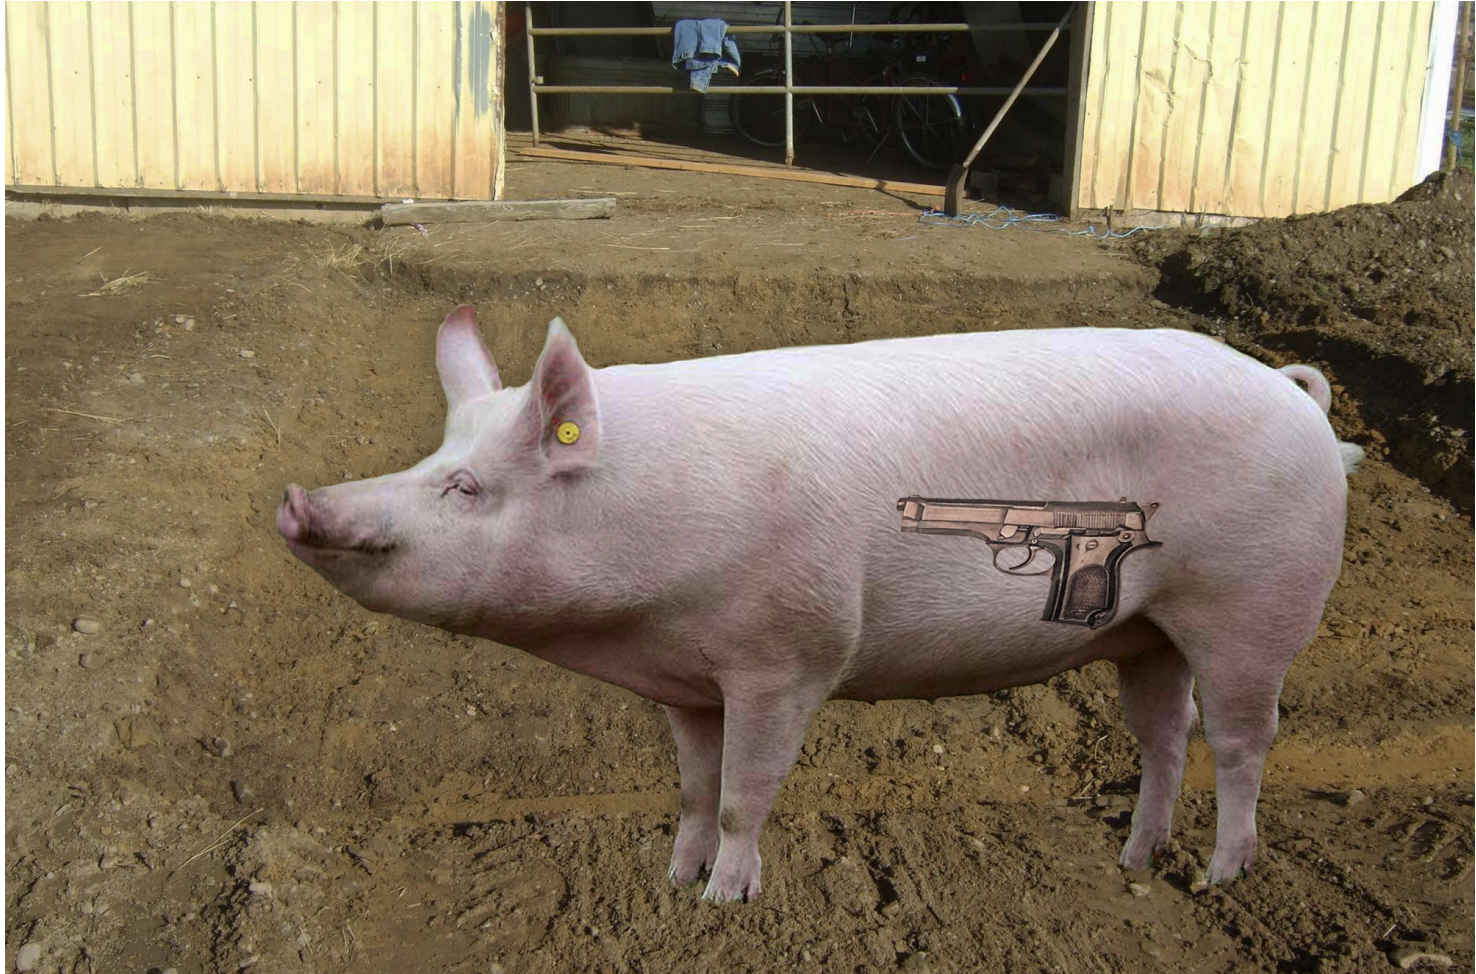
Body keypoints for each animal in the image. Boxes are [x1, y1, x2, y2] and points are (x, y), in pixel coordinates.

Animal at [278, 306, 1361, 904]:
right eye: (434, 457)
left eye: (465, 488)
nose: (297, 499)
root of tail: (1296, 395)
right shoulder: (687, 680)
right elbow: (692, 789)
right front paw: (671, 881)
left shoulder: (786, 655)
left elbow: (744, 793)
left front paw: (725, 904)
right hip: (1147, 632)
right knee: (1164, 735)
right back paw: (1136, 861)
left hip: (1256, 606)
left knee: (1242, 740)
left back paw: (1220, 877)